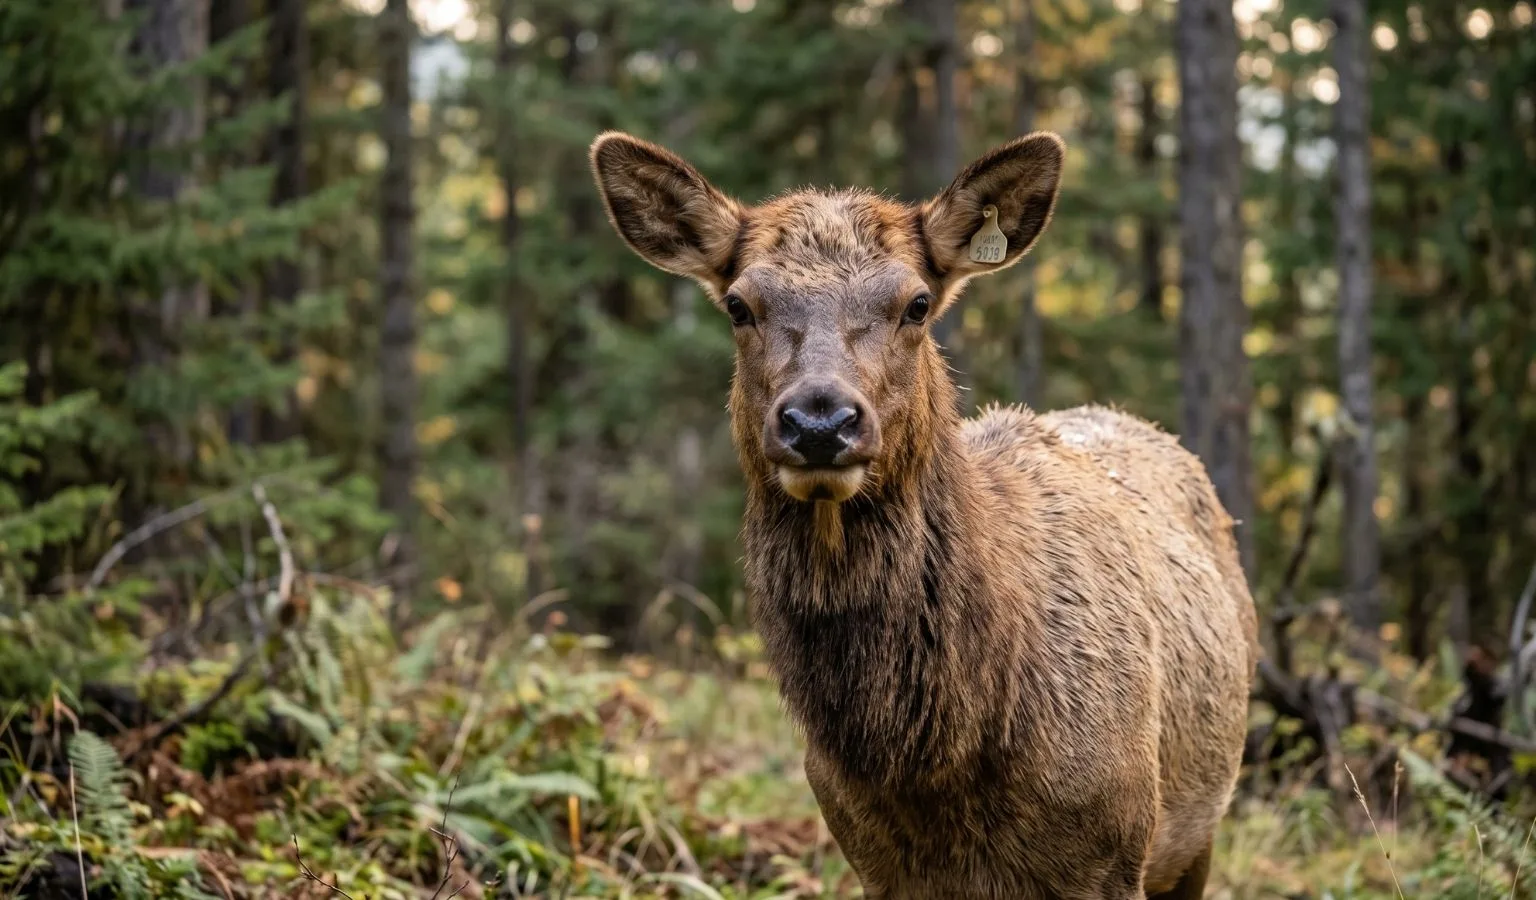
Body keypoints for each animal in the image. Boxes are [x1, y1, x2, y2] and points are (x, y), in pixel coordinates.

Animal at [589, 128, 1257, 900]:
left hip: (1196, 829)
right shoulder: (874, 863)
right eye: (738, 305)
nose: (820, 421)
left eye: (915, 303)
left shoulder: (1112, 854)